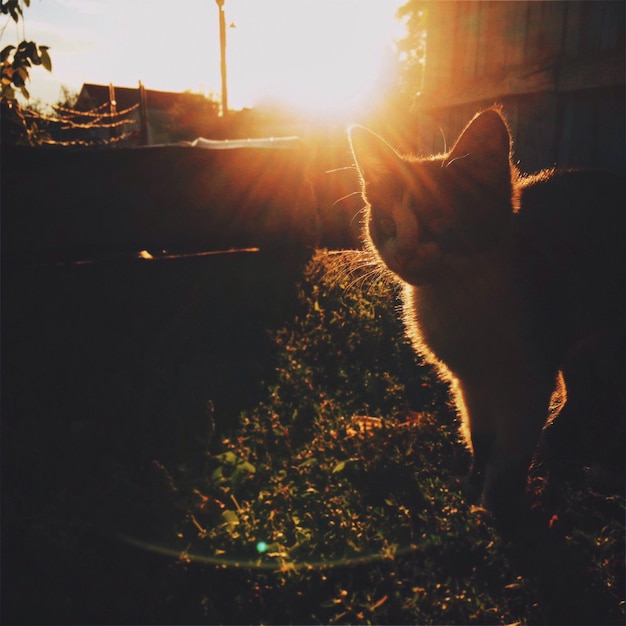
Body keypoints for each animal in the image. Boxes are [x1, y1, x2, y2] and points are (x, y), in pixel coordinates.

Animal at [348, 109, 620, 520]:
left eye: (438, 223)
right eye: (387, 226)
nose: (405, 253)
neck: (459, 298)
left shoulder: (529, 375)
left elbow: (511, 449)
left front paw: (501, 509)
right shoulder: (468, 380)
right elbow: (481, 435)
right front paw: (474, 488)